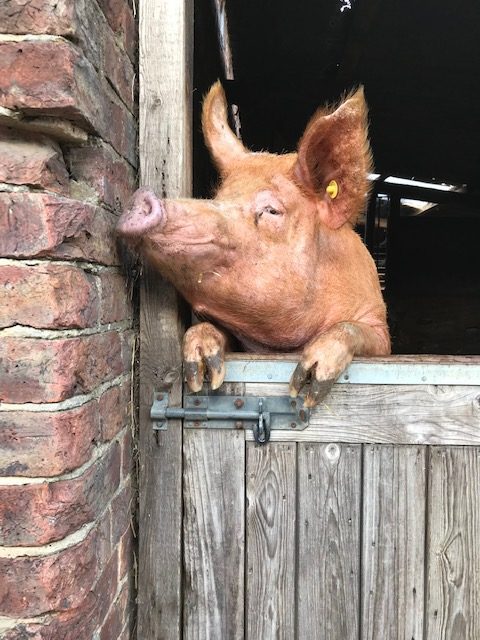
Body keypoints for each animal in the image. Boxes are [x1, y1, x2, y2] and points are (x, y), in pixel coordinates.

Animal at [117, 82, 390, 406]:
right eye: (218, 197)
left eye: (271, 210)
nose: (141, 197)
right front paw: (201, 366)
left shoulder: (380, 329)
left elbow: (358, 333)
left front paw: (307, 382)